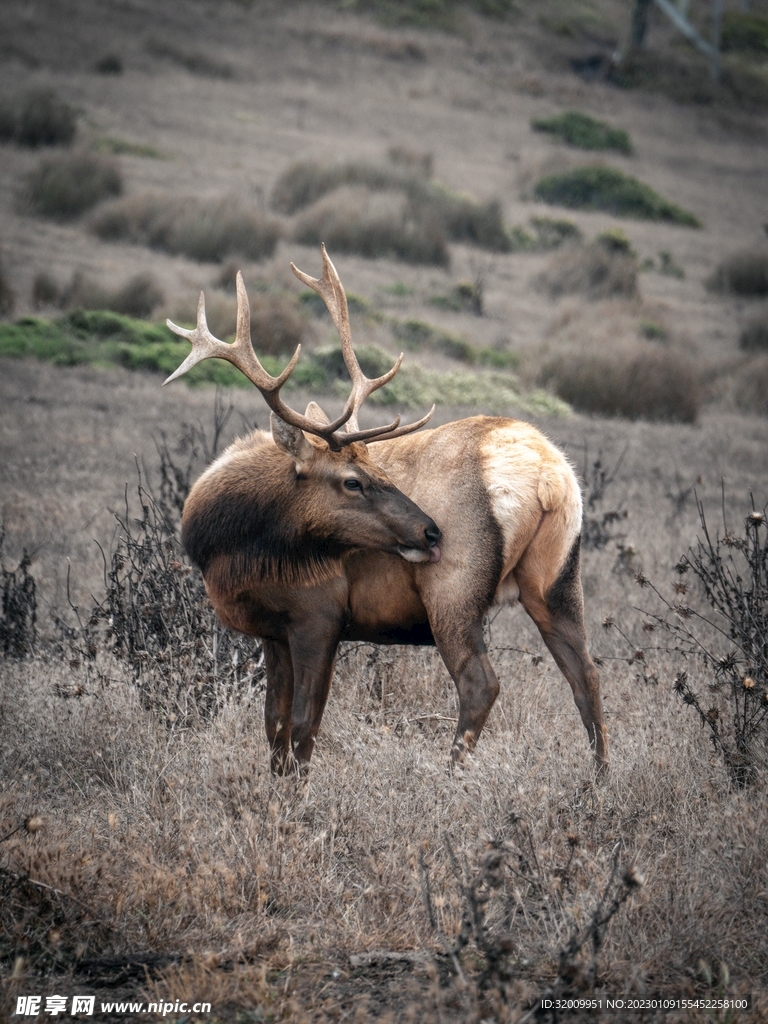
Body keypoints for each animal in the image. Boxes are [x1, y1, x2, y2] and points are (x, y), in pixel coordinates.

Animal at [164, 245, 608, 775]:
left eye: (373, 470)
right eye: (354, 479)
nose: (430, 532)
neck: (224, 548)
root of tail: (550, 477)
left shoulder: (319, 614)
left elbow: (302, 727)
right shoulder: (273, 632)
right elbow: (272, 727)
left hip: (453, 591)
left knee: (481, 683)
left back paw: (449, 780)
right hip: (557, 580)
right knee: (587, 676)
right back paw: (599, 782)